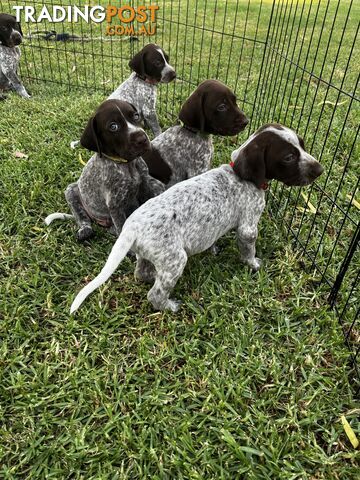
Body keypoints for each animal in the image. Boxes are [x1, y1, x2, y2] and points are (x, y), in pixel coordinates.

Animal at [45, 98, 165, 240]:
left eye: (136, 116)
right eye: (113, 126)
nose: (142, 138)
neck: (126, 165)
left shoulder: (145, 186)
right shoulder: (115, 205)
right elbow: (121, 225)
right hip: (71, 191)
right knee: (82, 218)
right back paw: (85, 229)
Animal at [70, 123, 324, 316]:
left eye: (302, 145)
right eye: (289, 157)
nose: (319, 169)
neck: (241, 176)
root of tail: (130, 227)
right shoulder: (248, 226)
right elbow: (248, 249)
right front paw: (253, 264)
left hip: (151, 253)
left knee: (141, 273)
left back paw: (151, 276)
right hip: (175, 258)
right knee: (155, 293)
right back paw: (169, 306)